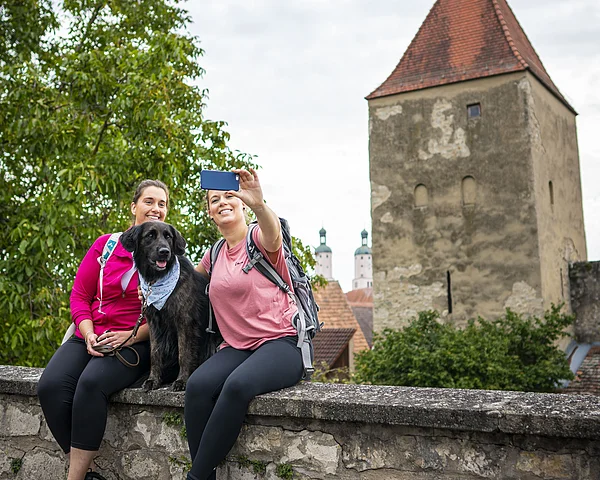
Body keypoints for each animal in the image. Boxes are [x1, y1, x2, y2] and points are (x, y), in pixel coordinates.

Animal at [120, 221, 220, 391]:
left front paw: (182, 380)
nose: (164, 252)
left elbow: (184, 353)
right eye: (150, 235)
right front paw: (153, 380)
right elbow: (155, 354)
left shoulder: (185, 322)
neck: (157, 280)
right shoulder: (154, 323)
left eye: (168, 236)